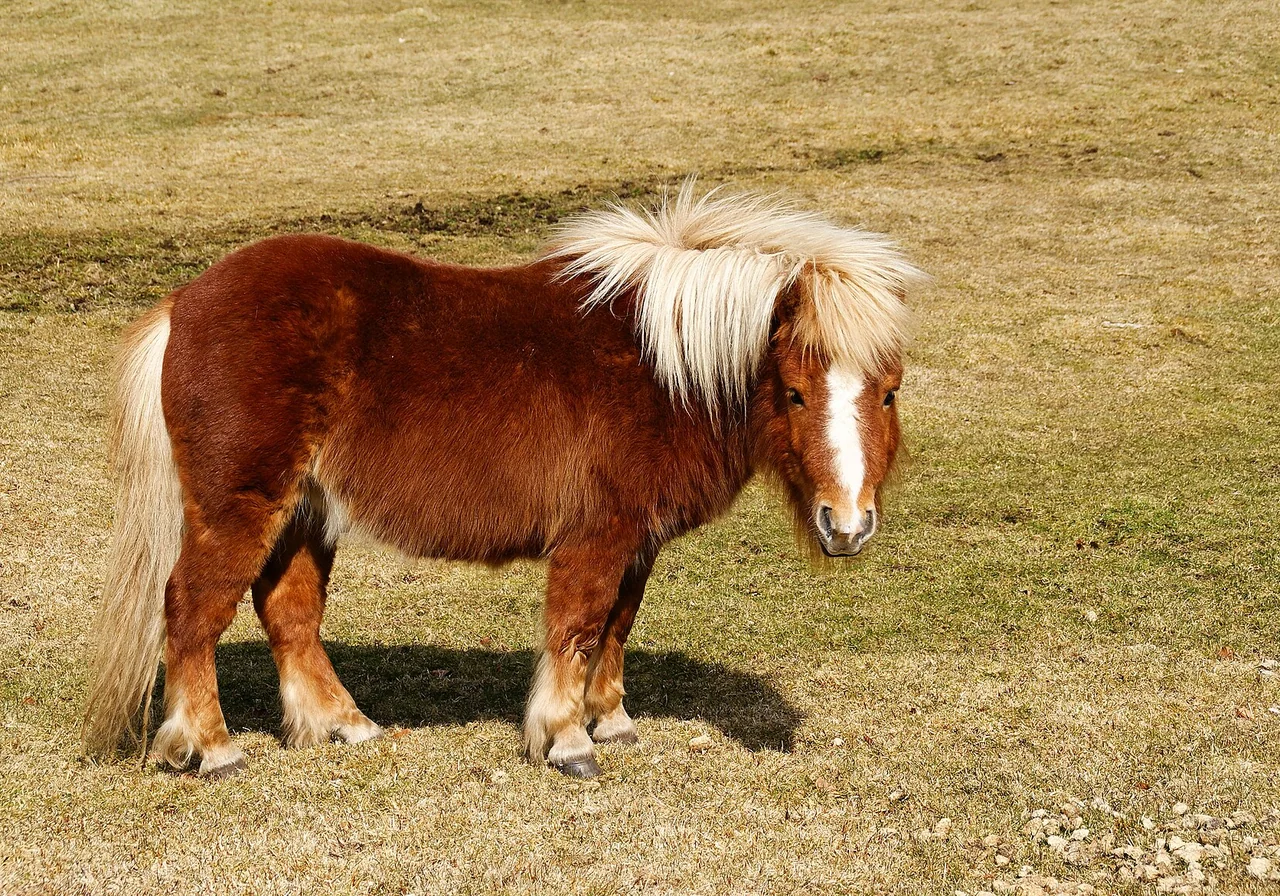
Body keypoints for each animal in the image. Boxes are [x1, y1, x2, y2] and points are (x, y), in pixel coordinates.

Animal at [80, 183, 924, 779]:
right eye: (795, 393)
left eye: (888, 391)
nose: (846, 525)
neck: (662, 365)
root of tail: (185, 302)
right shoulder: (597, 536)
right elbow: (577, 626)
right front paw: (567, 740)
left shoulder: (638, 541)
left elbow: (617, 625)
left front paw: (612, 721)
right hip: (240, 504)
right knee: (193, 610)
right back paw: (211, 748)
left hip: (305, 511)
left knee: (288, 613)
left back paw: (343, 726)